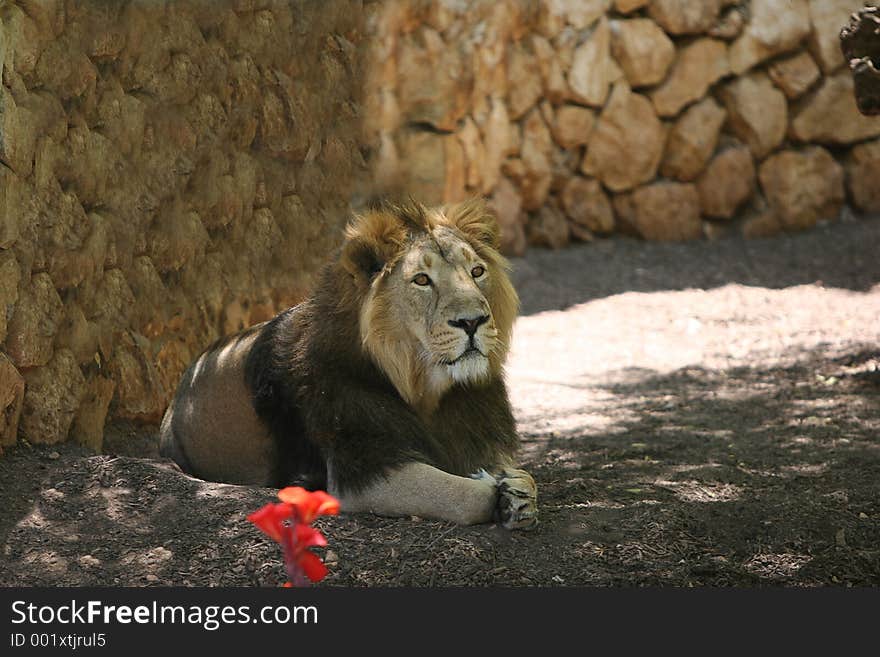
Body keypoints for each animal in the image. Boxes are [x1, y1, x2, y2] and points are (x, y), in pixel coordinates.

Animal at [162, 199, 540, 528]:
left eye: (477, 272)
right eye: (422, 279)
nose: (473, 321)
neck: (423, 391)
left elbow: (525, 478)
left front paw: (518, 490)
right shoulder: (364, 471)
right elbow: (464, 496)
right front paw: (498, 492)